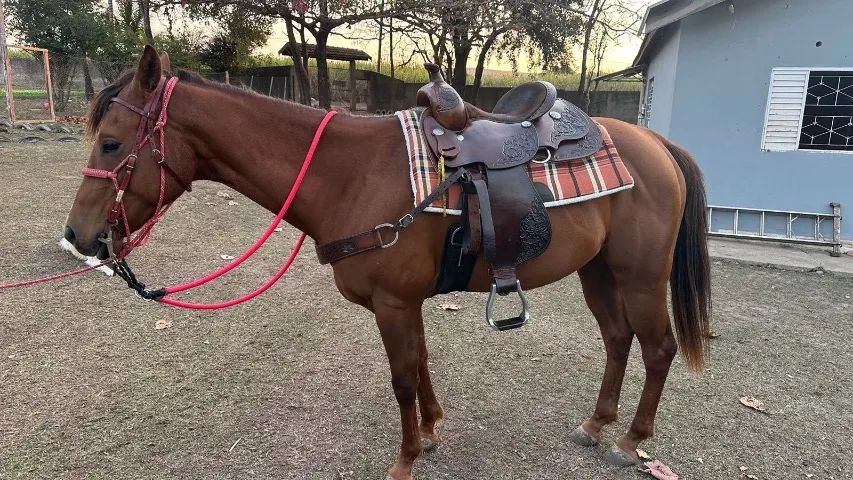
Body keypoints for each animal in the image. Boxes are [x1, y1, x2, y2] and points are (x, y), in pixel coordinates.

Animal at [63, 46, 711, 480]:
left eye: (112, 143)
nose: (78, 236)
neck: (349, 175)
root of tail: (658, 146)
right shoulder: (408, 303)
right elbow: (420, 366)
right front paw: (431, 431)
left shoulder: (393, 303)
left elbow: (401, 378)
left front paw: (406, 459)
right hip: (598, 271)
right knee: (617, 339)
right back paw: (596, 425)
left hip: (641, 276)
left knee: (657, 348)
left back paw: (630, 441)